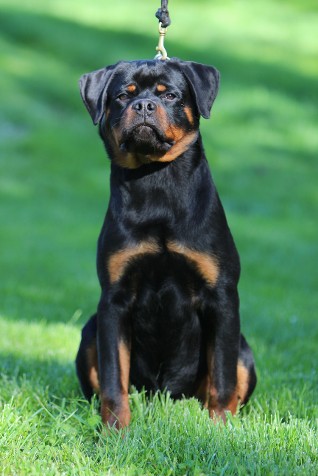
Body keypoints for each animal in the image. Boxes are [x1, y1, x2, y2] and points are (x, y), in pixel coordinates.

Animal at [76, 58, 258, 428]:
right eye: (123, 95)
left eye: (169, 94)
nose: (144, 105)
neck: (156, 185)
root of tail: (166, 396)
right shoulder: (114, 300)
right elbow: (113, 379)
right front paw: (116, 431)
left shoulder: (222, 296)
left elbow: (223, 379)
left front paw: (221, 429)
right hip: (89, 331)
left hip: (245, 351)